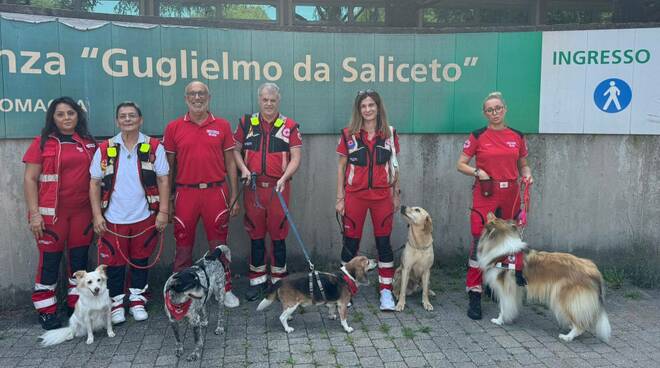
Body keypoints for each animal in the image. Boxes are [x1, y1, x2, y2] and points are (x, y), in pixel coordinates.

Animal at [476, 213, 612, 342]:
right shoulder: (516, 289)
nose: (489, 212)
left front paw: (499, 320)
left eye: (492, 219)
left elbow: (503, 307)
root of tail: (594, 270)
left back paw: (568, 336)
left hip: (564, 297)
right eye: (498, 218)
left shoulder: (504, 288)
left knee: (580, 325)